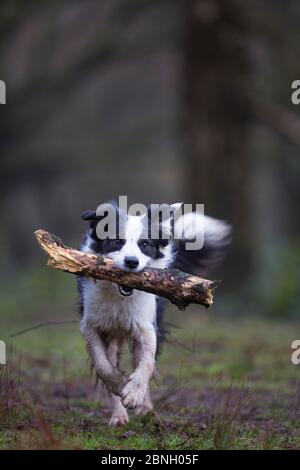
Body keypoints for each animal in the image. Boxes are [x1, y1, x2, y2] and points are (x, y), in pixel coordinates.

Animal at [77, 202, 230, 426]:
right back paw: (119, 416)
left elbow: (147, 363)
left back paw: (146, 410)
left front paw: (134, 394)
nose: (131, 262)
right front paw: (119, 383)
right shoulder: (91, 324)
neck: (120, 297)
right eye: (117, 241)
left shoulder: (146, 326)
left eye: (145, 244)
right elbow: (103, 365)